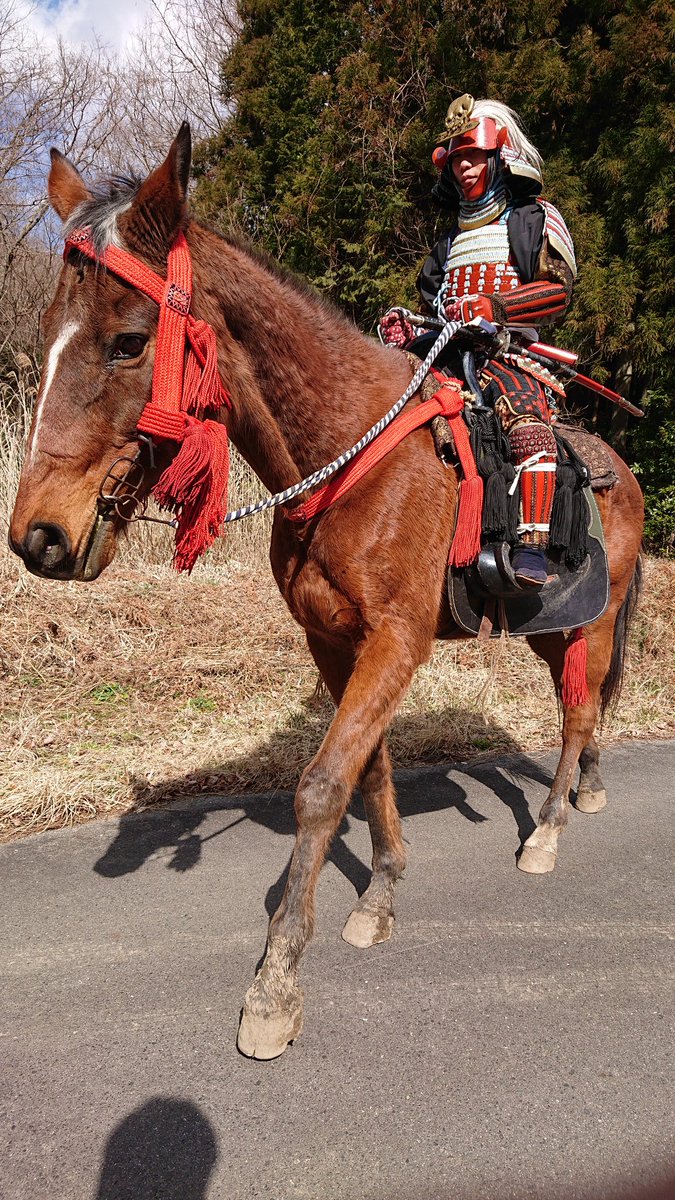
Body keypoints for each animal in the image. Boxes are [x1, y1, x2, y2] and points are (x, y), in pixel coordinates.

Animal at [10, 124, 638, 1060]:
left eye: (128, 341)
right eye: (51, 332)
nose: (38, 537)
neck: (346, 459)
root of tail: (620, 471)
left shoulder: (395, 640)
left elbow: (320, 784)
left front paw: (275, 983)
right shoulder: (335, 642)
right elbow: (367, 771)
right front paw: (380, 896)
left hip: (591, 618)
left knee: (576, 711)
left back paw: (550, 827)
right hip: (549, 626)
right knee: (584, 706)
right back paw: (585, 790)